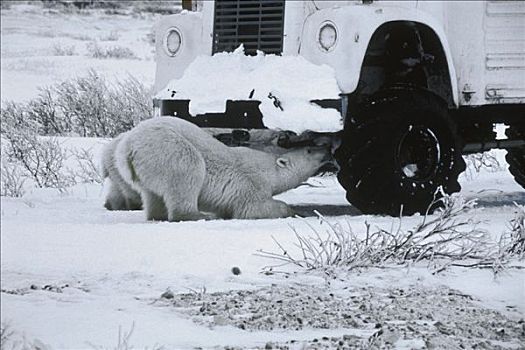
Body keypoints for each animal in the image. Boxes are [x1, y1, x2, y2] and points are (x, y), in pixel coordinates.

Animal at [114, 117, 330, 221]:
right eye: (309, 149)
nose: (326, 148)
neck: (268, 169)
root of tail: (128, 148)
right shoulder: (251, 184)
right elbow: (252, 208)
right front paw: (293, 211)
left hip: (146, 167)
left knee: (152, 195)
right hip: (167, 148)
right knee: (188, 170)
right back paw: (199, 215)